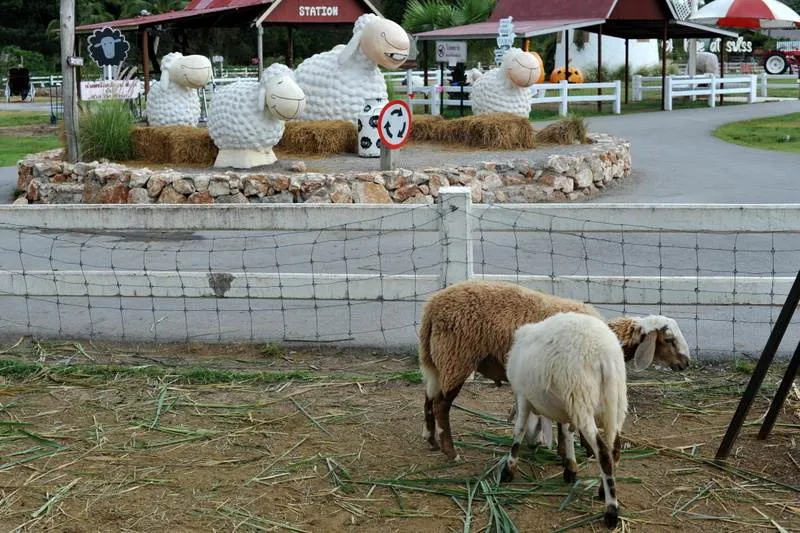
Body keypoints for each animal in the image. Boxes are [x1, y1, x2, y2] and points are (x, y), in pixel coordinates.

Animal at [419, 280, 691, 461]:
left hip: (435, 360)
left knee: (428, 399)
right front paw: (586, 451)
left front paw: (562, 450)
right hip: (456, 357)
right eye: (669, 340)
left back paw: (431, 441)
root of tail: (432, 307)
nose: (686, 363)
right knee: (441, 406)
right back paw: (451, 452)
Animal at [502, 312, 641, 529]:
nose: (533, 445)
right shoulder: (566, 403)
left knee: (603, 452)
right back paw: (603, 490)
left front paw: (508, 470)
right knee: (615, 449)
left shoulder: (524, 396)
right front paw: (570, 467)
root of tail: (605, 354)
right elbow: (567, 433)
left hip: (582, 397)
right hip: (613, 401)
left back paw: (611, 512)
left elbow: (519, 429)